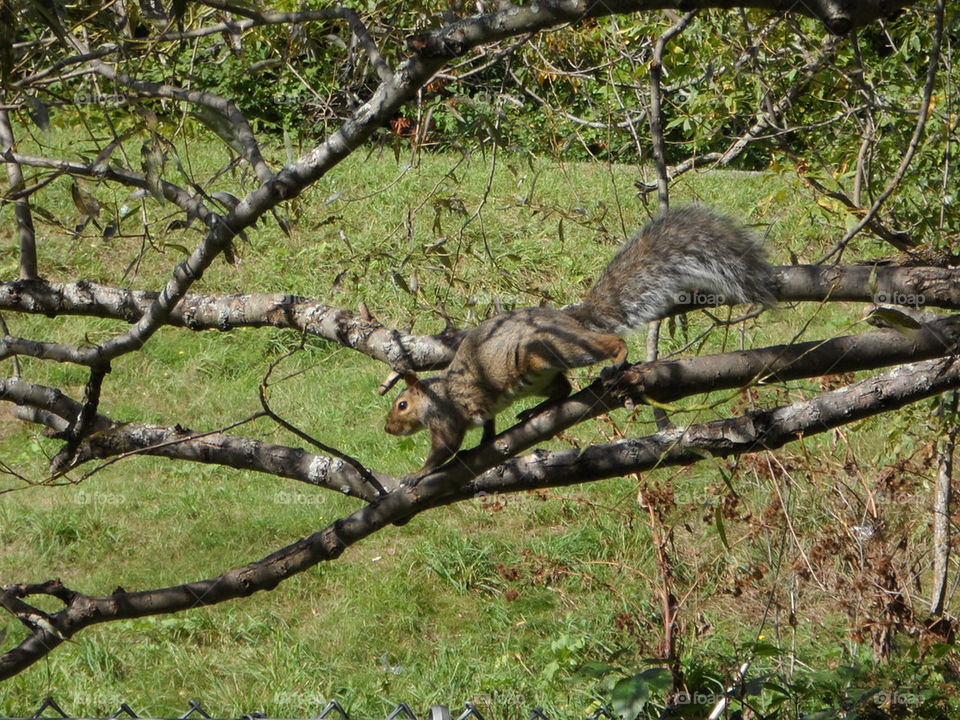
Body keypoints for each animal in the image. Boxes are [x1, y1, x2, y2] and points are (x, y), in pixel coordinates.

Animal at [385, 205, 776, 474]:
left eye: (401, 404)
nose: (388, 428)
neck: (435, 395)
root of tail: (568, 320)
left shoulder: (446, 417)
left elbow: (444, 450)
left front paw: (416, 476)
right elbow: (487, 427)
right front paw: (484, 442)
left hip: (553, 350)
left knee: (605, 350)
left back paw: (615, 363)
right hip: (540, 372)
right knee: (562, 390)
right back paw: (535, 410)